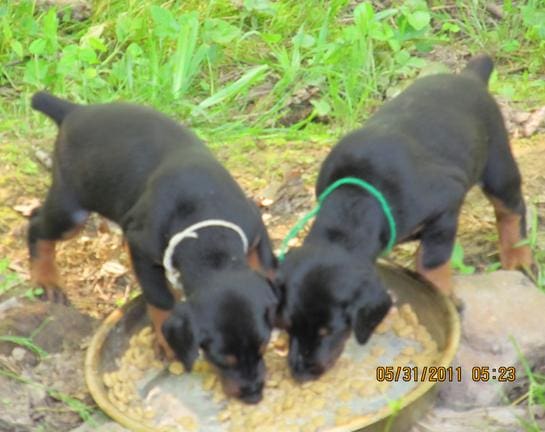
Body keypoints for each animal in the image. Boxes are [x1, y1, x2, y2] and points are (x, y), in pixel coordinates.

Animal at [29, 92, 276, 404]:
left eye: (263, 347)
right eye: (220, 359)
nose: (254, 396)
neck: (207, 236)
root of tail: (74, 111)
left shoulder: (254, 228)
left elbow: (266, 267)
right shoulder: (143, 249)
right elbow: (160, 299)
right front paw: (167, 342)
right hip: (71, 209)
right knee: (35, 224)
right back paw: (46, 280)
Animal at [274, 54, 528, 382]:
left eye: (329, 330)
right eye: (288, 325)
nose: (300, 374)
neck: (359, 196)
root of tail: (469, 77)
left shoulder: (446, 205)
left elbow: (431, 263)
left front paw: (444, 295)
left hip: (497, 162)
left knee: (512, 209)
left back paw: (518, 257)